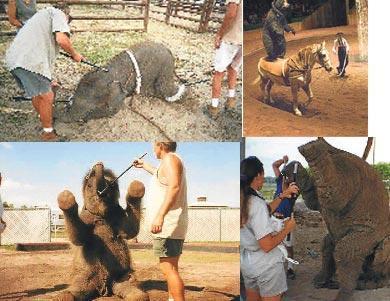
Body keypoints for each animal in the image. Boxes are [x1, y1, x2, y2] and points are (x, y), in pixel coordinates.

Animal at [55, 162, 150, 300]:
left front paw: (136, 187)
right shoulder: (86, 216)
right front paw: (66, 197)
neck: (102, 215)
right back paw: (65, 295)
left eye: (112, 185)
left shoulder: (118, 215)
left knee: (130, 285)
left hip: (121, 275)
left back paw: (135, 295)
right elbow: (78, 238)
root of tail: (104, 288)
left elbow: (130, 231)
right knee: (76, 288)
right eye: (89, 185)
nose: (98, 163)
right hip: (85, 275)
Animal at [284, 138, 390, 300]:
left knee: (350, 249)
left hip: (377, 238)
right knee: (327, 243)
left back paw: (361, 286)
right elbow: (313, 200)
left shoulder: (351, 176)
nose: (284, 171)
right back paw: (323, 282)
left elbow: (334, 196)